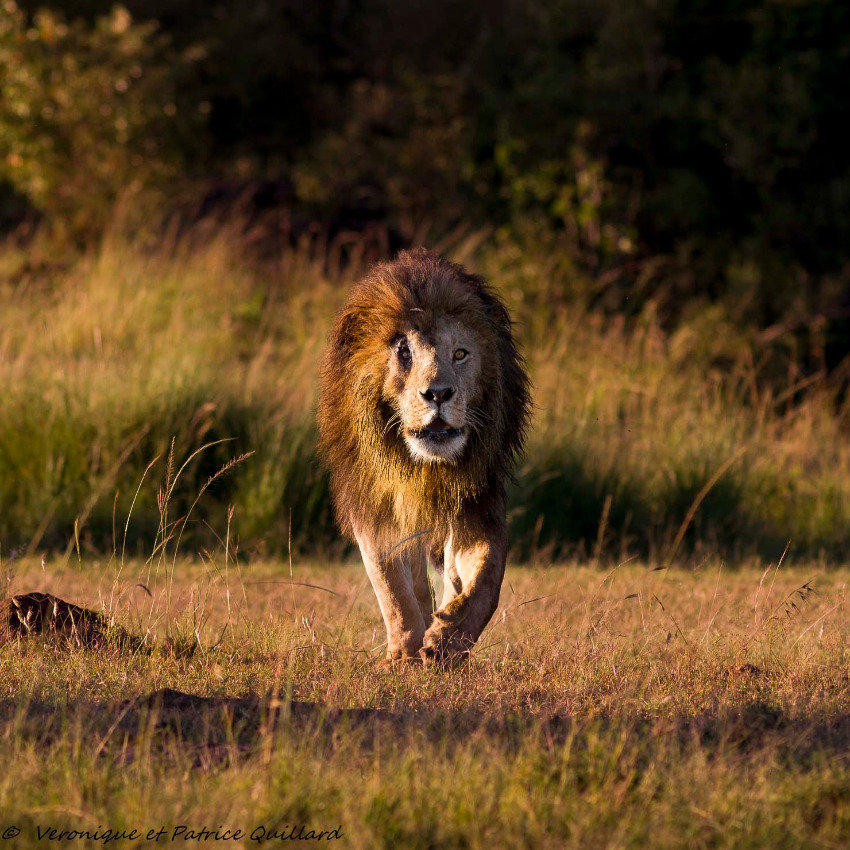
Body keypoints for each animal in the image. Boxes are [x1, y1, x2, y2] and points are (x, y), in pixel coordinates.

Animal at [318, 248, 528, 664]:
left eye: (460, 354)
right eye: (404, 352)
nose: (438, 393)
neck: (425, 467)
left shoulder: (476, 501)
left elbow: (486, 580)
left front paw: (447, 641)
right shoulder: (375, 505)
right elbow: (393, 587)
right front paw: (405, 651)